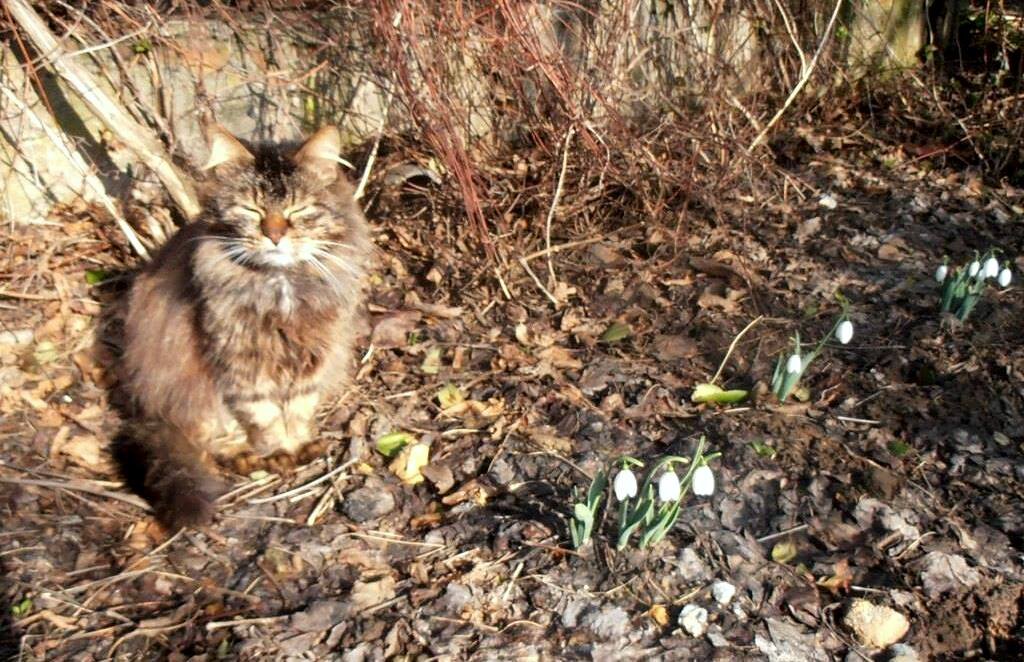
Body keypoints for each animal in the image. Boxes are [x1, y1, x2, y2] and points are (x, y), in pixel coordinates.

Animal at [114, 126, 370, 528]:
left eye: (297, 210)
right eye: (253, 210)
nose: (275, 235)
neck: (280, 287)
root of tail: (145, 411)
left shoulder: (313, 357)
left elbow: (298, 410)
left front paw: (300, 444)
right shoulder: (243, 367)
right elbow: (265, 418)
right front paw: (280, 452)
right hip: (195, 396)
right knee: (211, 441)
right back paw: (248, 457)